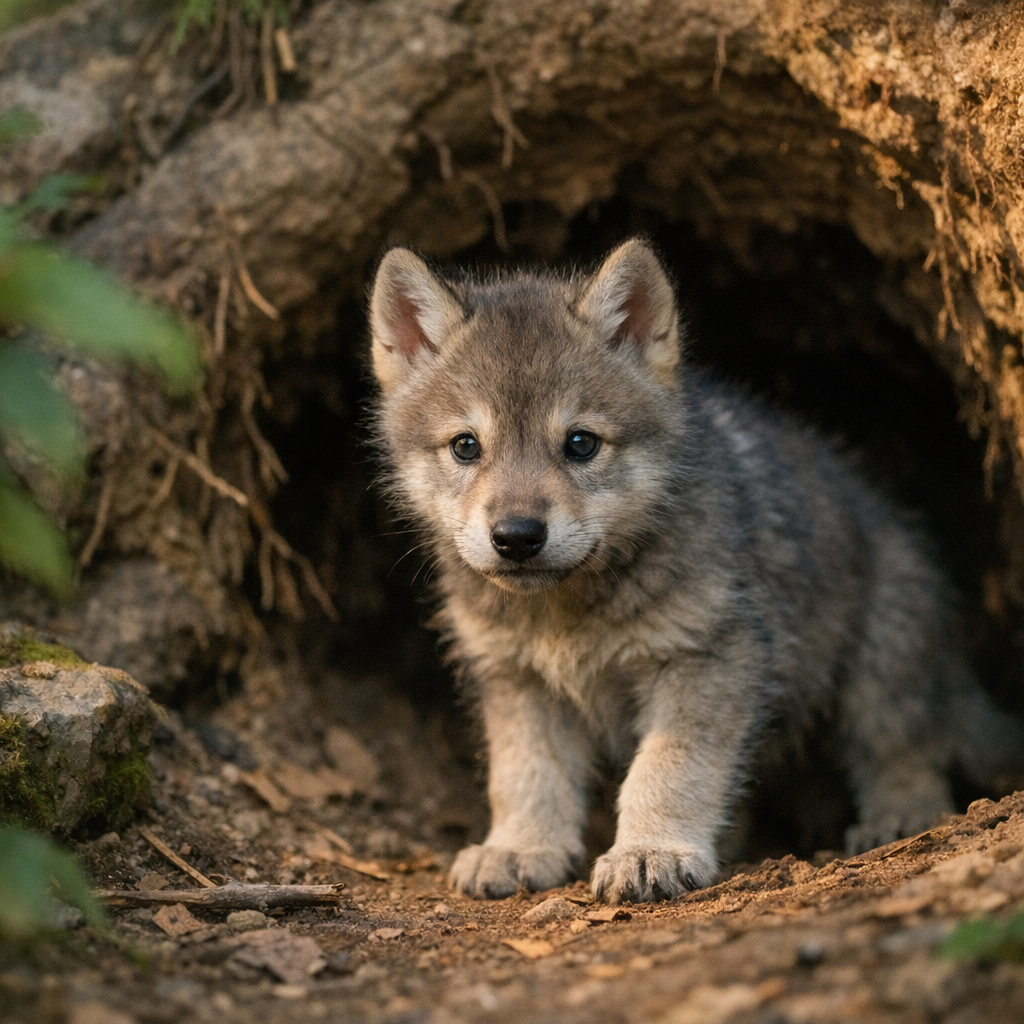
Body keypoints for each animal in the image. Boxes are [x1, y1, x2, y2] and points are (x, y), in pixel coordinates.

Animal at [368, 238, 1022, 904]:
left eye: (580, 443)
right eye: (466, 446)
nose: (517, 537)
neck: (567, 615)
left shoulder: (707, 658)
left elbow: (667, 769)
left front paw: (650, 852)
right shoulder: (515, 679)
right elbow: (526, 775)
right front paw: (521, 849)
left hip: (883, 666)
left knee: (907, 747)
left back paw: (901, 815)